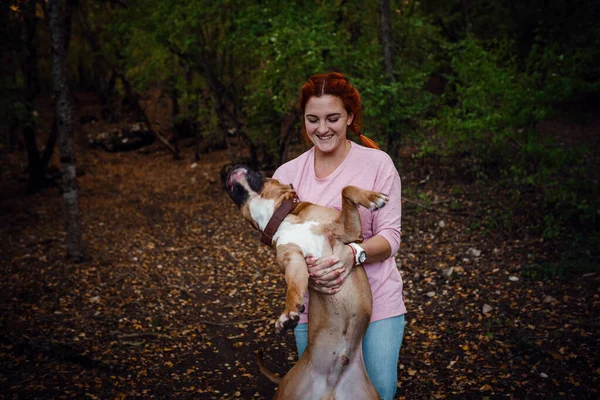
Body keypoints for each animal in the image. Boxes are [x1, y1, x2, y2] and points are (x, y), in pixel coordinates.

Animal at [223, 166, 386, 400]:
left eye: (262, 173)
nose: (231, 168)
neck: (283, 219)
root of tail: (333, 381)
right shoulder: (294, 263)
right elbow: (293, 290)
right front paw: (288, 313)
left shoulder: (348, 231)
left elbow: (346, 190)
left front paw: (372, 198)